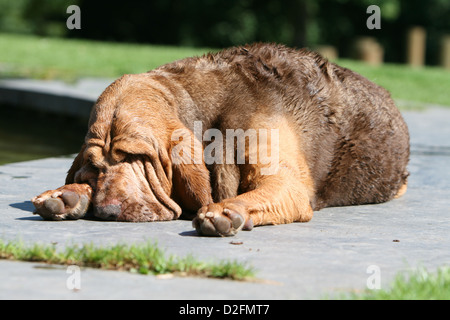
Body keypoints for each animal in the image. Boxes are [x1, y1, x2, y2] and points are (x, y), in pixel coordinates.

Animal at [32, 43, 412, 235]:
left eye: (136, 157)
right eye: (95, 166)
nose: (106, 213)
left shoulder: (285, 183)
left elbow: (255, 195)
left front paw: (226, 211)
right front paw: (68, 193)